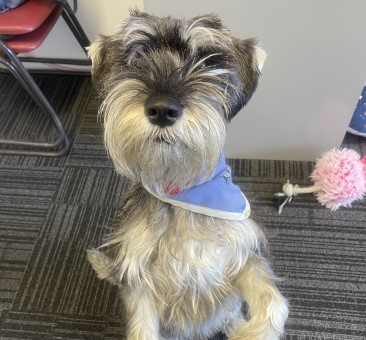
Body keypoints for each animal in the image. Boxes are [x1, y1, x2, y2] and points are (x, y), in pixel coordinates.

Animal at [86, 9, 288, 340]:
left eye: (207, 61)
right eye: (136, 58)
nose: (162, 110)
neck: (183, 188)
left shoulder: (244, 253)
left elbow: (273, 304)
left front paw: (251, 332)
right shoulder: (138, 275)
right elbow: (142, 328)